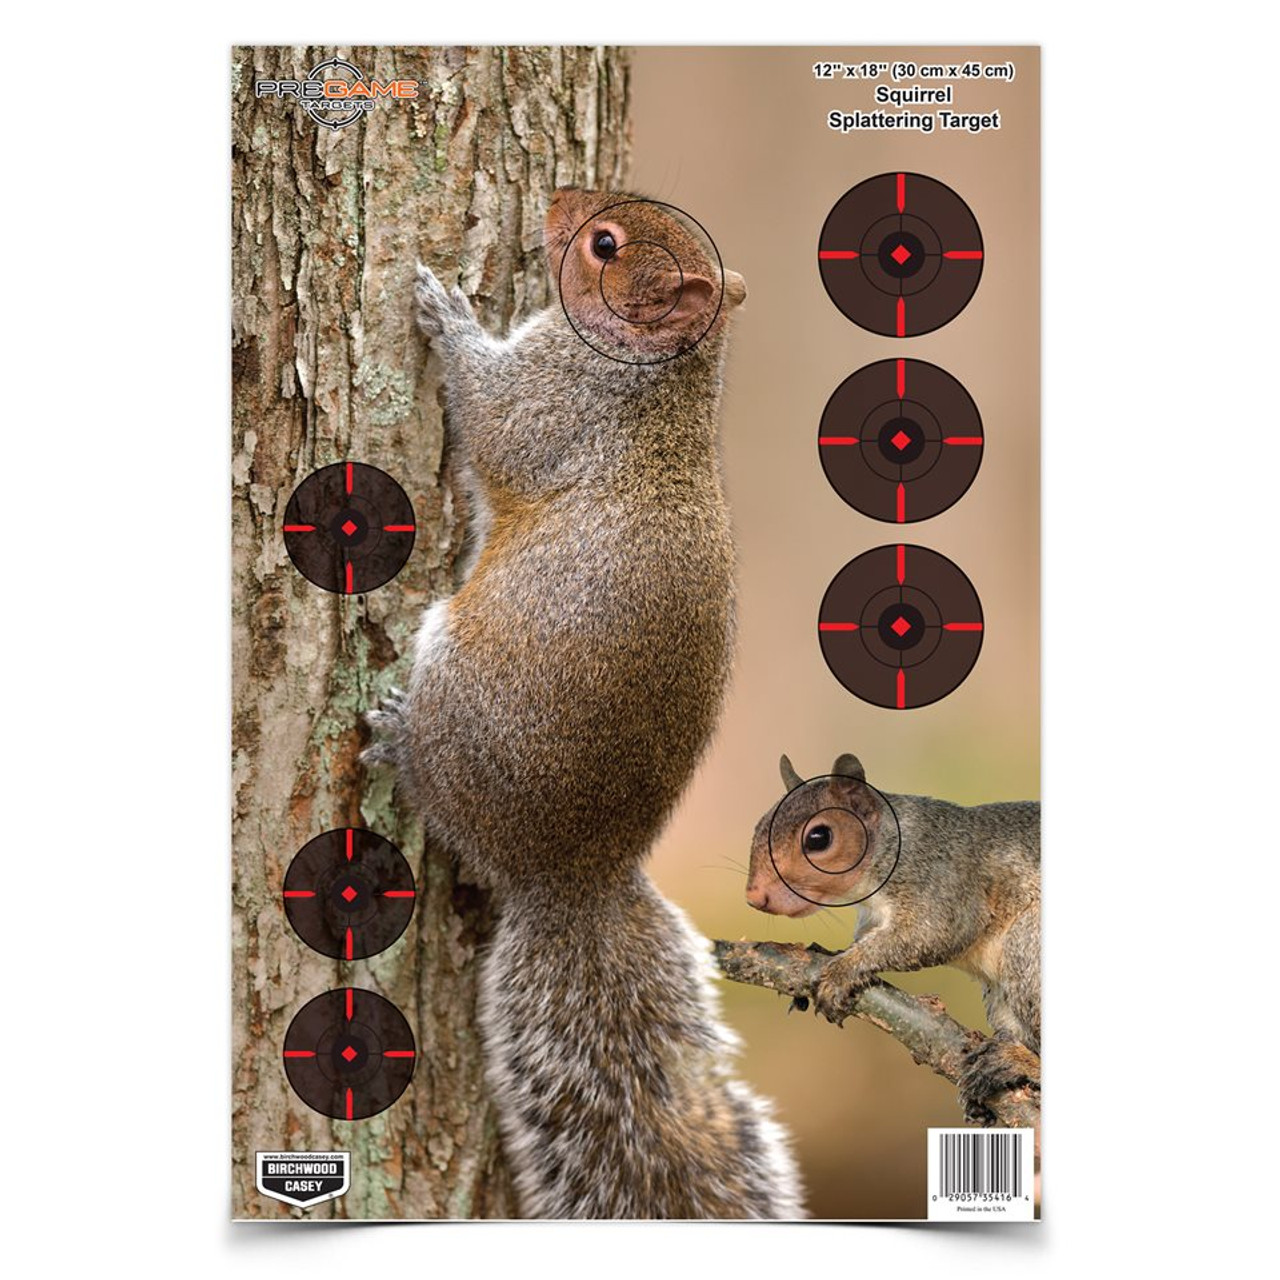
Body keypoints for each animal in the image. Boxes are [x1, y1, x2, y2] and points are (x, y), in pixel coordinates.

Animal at [365, 188, 803, 1218]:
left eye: (606, 244)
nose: (558, 203)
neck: (661, 378)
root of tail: (573, 874)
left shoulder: (552, 404)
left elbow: (489, 417)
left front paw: (447, 313)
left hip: (458, 688)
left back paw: (396, 741)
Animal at [747, 753, 1040, 1124]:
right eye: (759, 825)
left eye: (818, 837)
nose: (755, 896)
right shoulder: (873, 916)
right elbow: (864, 938)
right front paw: (829, 953)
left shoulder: (943, 883)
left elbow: (933, 933)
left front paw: (841, 971)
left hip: (1027, 946)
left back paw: (1020, 1063)